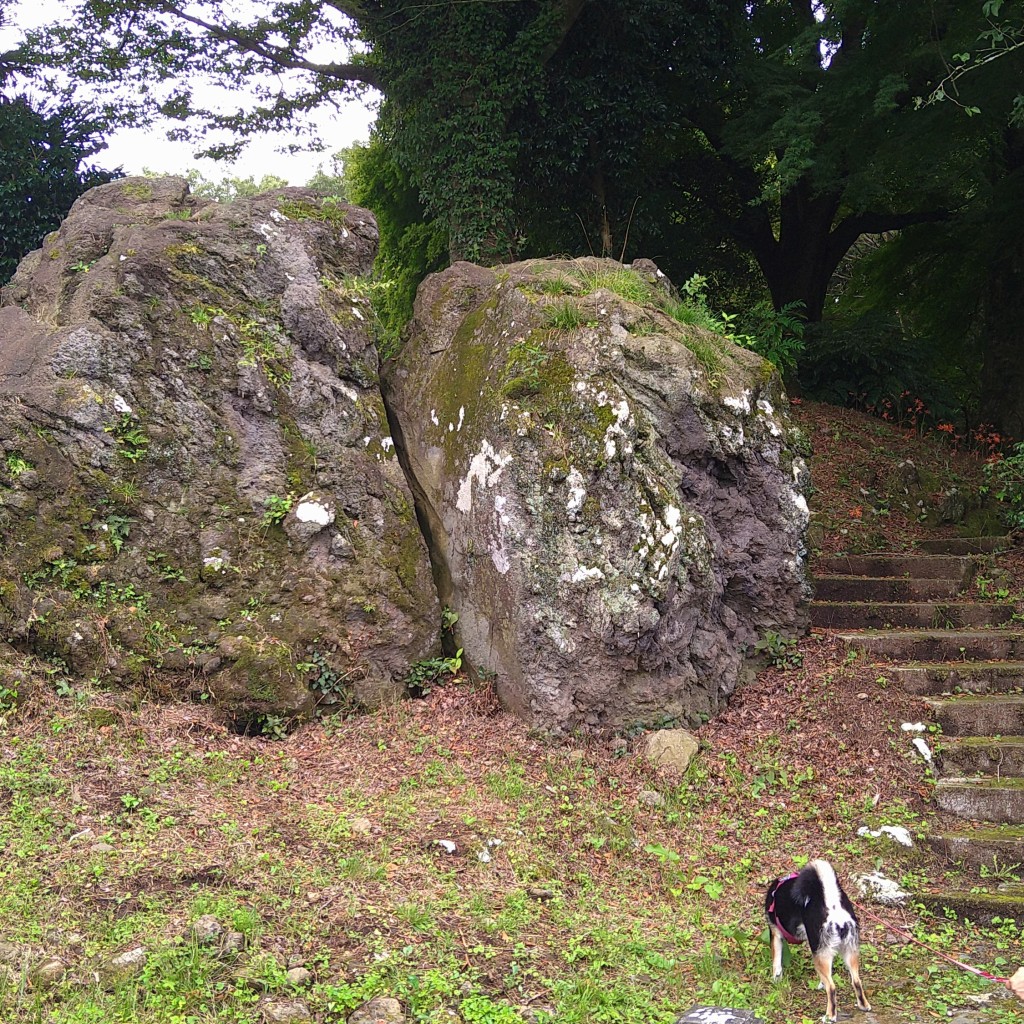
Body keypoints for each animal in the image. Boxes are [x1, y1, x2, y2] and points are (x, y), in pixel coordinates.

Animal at [765, 860, 868, 1019]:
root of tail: (832, 906)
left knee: (832, 987)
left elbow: (776, 964)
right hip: (848, 952)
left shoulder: (775, 934)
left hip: (820, 952)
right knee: (856, 981)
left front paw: (776, 980)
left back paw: (829, 1016)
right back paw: (863, 1006)